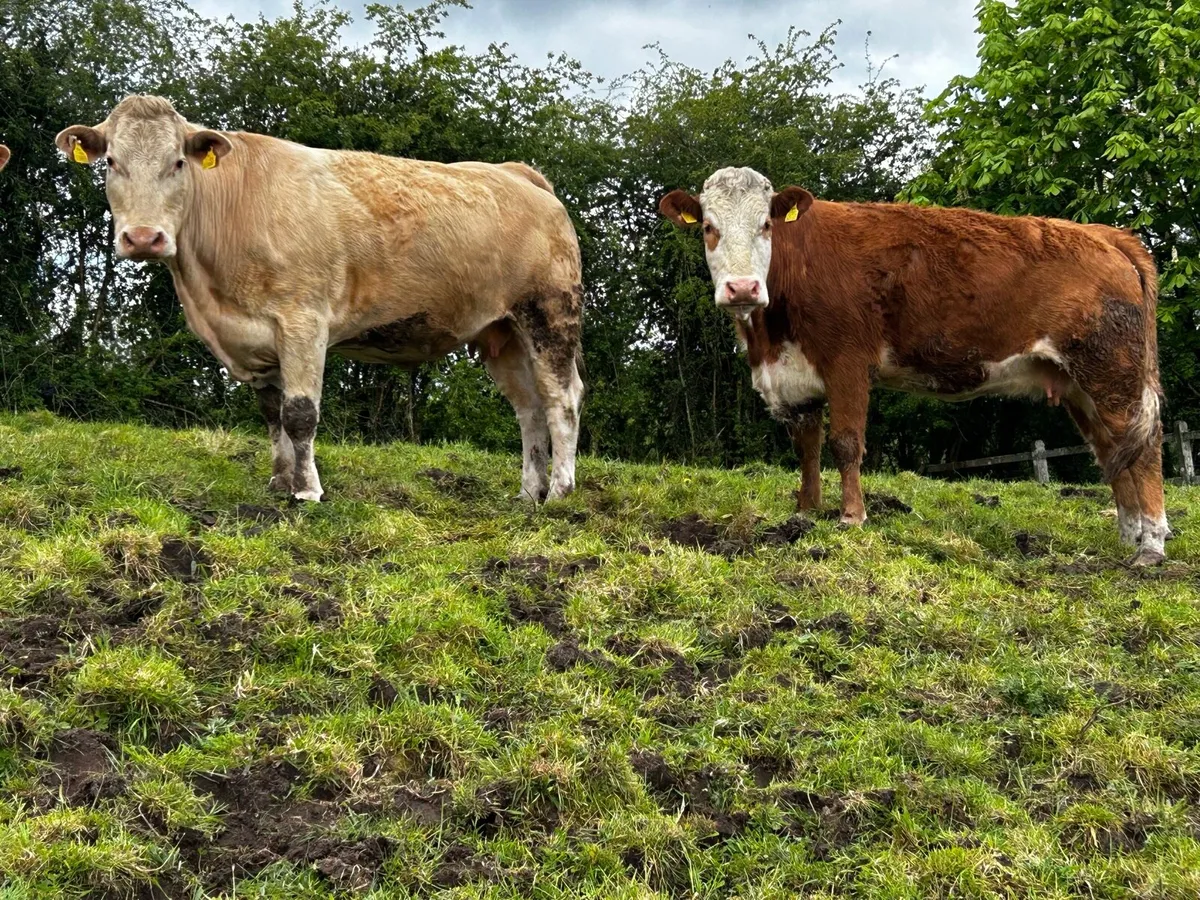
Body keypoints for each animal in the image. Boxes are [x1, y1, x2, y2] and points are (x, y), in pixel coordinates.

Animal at [57, 95, 584, 504]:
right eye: (111, 162)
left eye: (179, 162)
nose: (144, 238)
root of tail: (518, 173)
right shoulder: (257, 338)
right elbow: (273, 414)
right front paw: (278, 482)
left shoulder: (303, 320)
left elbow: (300, 413)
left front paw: (307, 490)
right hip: (502, 332)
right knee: (528, 407)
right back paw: (528, 493)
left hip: (550, 313)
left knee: (562, 398)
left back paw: (559, 492)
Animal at [659, 167, 1169, 565]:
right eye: (708, 226)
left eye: (766, 223)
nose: (742, 288)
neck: (769, 333)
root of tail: (1104, 234)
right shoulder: (794, 378)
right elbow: (807, 449)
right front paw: (805, 513)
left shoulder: (847, 360)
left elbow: (845, 443)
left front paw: (851, 517)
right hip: (1082, 384)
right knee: (1111, 449)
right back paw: (1128, 535)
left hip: (1113, 373)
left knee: (1144, 446)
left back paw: (1151, 545)